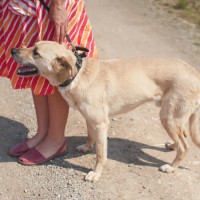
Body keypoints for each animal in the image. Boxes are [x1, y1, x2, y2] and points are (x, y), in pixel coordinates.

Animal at [11, 41, 200, 181]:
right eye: (32, 46)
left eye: (36, 53)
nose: (12, 50)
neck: (77, 74)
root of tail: (195, 73)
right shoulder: (89, 119)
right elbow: (89, 136)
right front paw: (87, 147)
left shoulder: (101, 124)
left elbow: (101, 154)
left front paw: (95, 174)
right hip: (172, 118)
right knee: (181, 138)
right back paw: (172, 146)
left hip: (168, 117)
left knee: (185, 146)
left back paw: (171, 167)